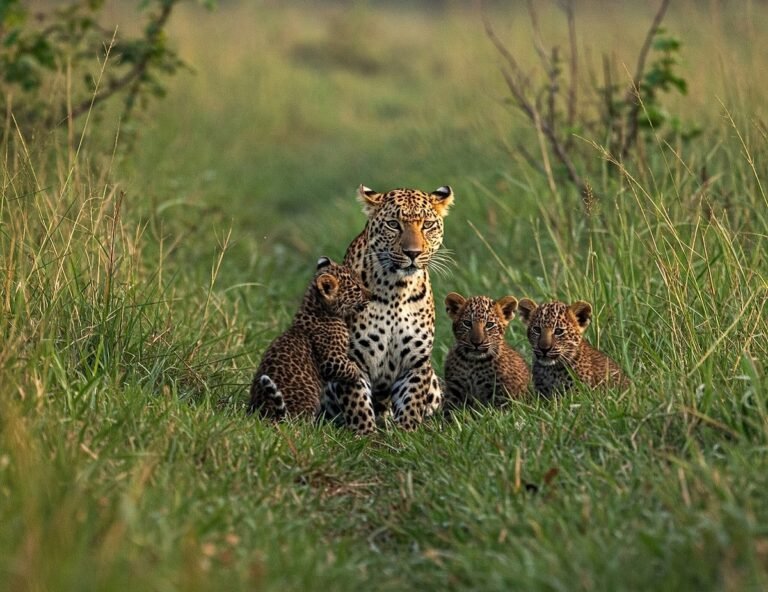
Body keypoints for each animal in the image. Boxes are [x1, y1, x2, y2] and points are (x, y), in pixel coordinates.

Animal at [248, 257, 370, 420]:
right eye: (357, 289)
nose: (372, 295)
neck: (317, 306)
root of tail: (266, 414)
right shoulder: (331, 359)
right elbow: (347, 367)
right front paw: (357, 372)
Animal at [319, 184, 454, 433]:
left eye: (427, 224)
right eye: (393, 224)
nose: (413, 253)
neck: (396, 290)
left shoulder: (415, 362)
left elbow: (411, 401)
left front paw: (407, 433)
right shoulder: (353, 360)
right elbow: (357, 403)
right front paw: (364, 434)